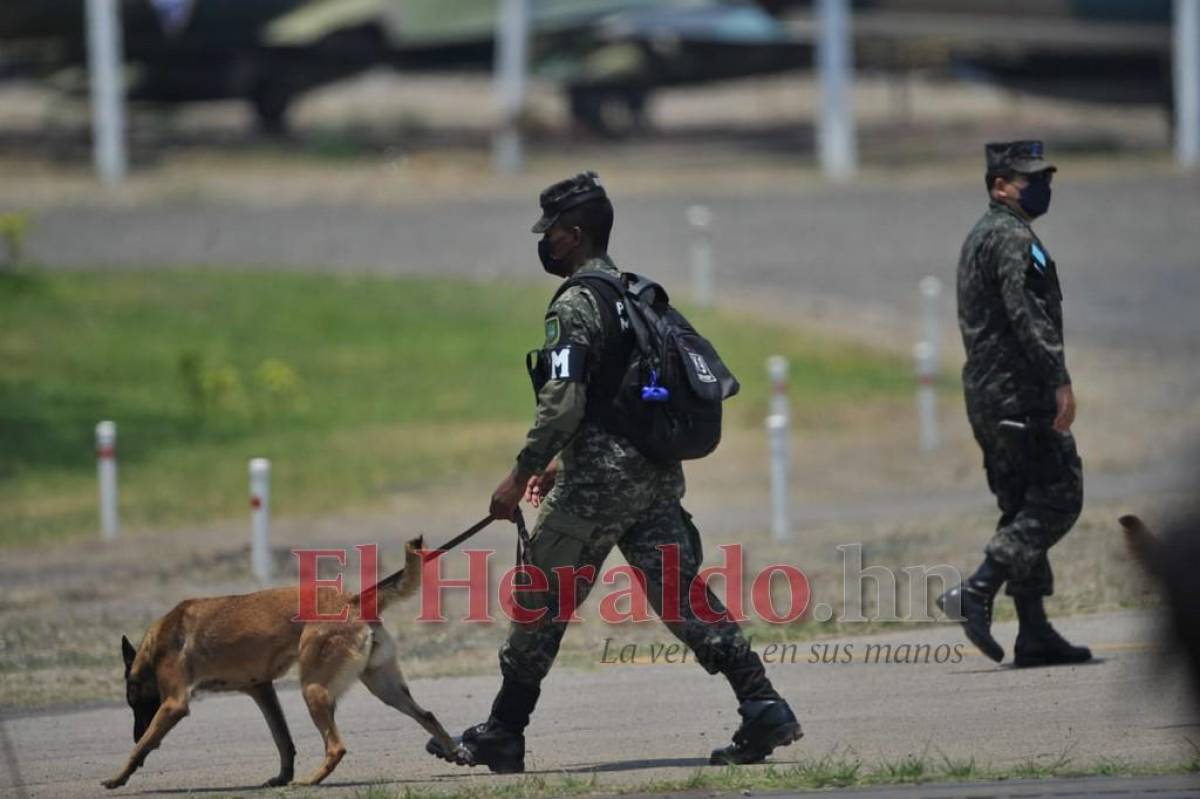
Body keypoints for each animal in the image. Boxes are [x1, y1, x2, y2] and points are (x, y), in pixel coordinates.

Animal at [105, 532, 458, 787]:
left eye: (133, 700)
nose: (135, 730)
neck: (156, 644)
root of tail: (353, 601)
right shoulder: (262, 689)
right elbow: (282, 738)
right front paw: (281, 777)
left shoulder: (174, 704)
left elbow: (141, 747)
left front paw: (118, 776)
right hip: (384, 688)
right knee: (427, 715)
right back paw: (456, 750)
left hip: (314, 688)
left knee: (336, 746)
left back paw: (310, 781)